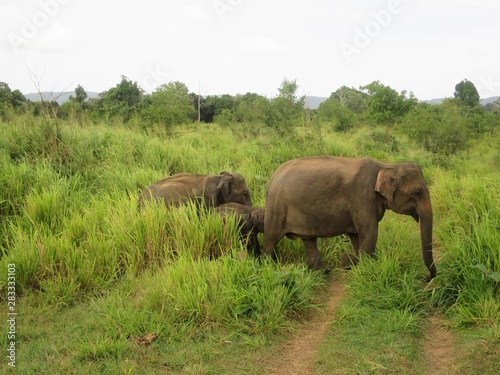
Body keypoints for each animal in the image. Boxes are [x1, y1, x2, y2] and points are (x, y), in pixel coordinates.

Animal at [264, 155, 436, 280]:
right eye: (417, 192)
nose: (427, 278)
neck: (387, 165)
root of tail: (273, 178)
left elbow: (356, 235)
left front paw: (357, 264)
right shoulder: (362, 196)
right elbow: (370, 232)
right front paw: (362, 268)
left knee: (309, 240)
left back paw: (322, 271)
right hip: (276, 208)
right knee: (271, 239)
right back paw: (268, 266)